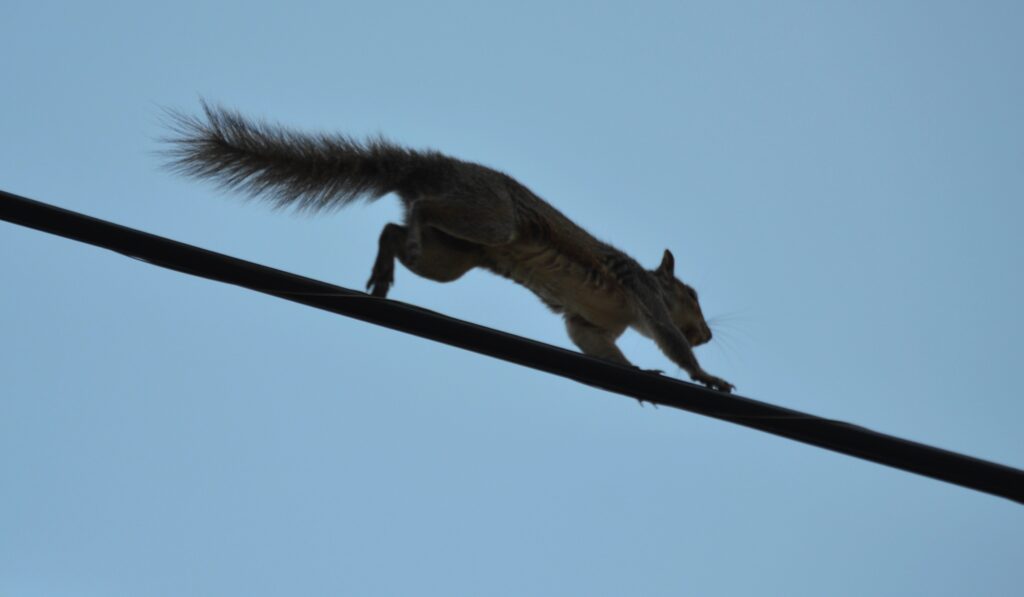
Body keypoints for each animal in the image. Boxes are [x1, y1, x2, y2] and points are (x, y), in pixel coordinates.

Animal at [161, 101, 737, 393]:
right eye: (690, 294)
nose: (708, 334)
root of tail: (430, 167)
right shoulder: (645, 294)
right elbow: (668, 338)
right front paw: (705, 375)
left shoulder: (590, 324)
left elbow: (598, 348)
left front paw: (638, 374)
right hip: (491, 220)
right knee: (423, 211)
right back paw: (409, 231)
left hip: (453, 257)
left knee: (393, 231)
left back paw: (386, 266)